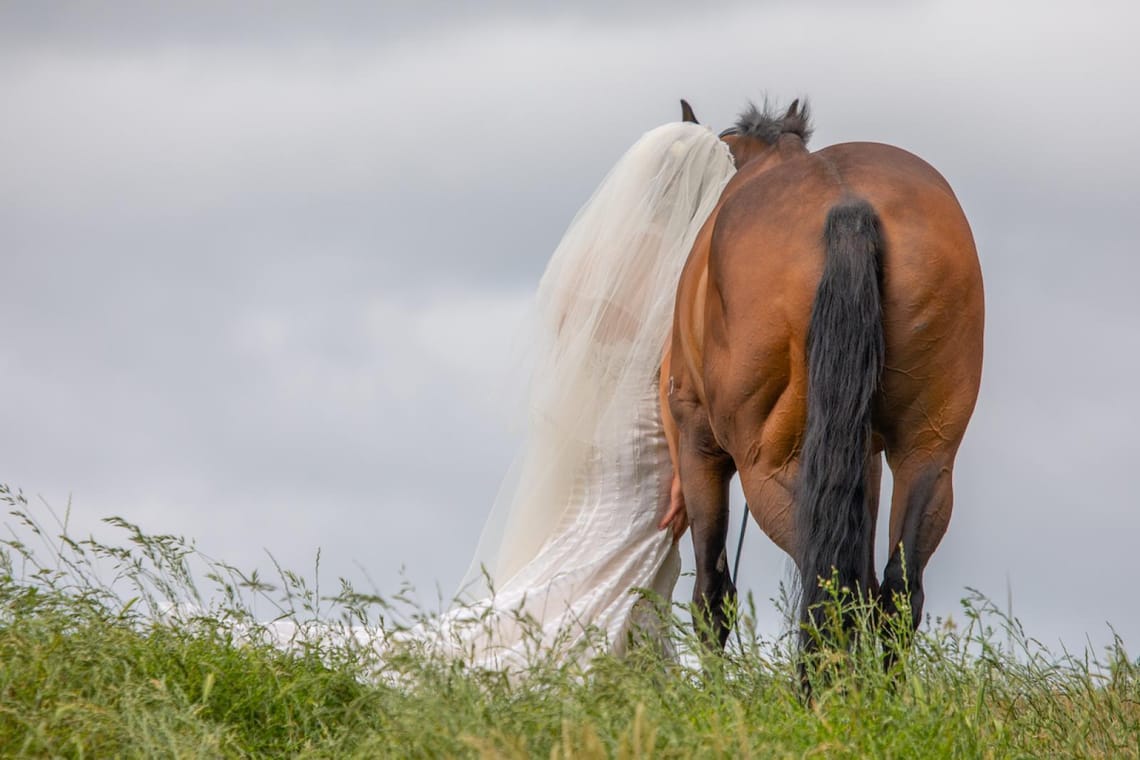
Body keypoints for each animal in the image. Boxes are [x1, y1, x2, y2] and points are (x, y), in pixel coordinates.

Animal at [665, 99, 984, 656]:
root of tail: (847, 207)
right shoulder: (866, 457)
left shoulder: (698, 442)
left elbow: (711, 594)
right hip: (928, 448)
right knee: (893, 591)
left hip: (768, 463)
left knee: (829, 581)